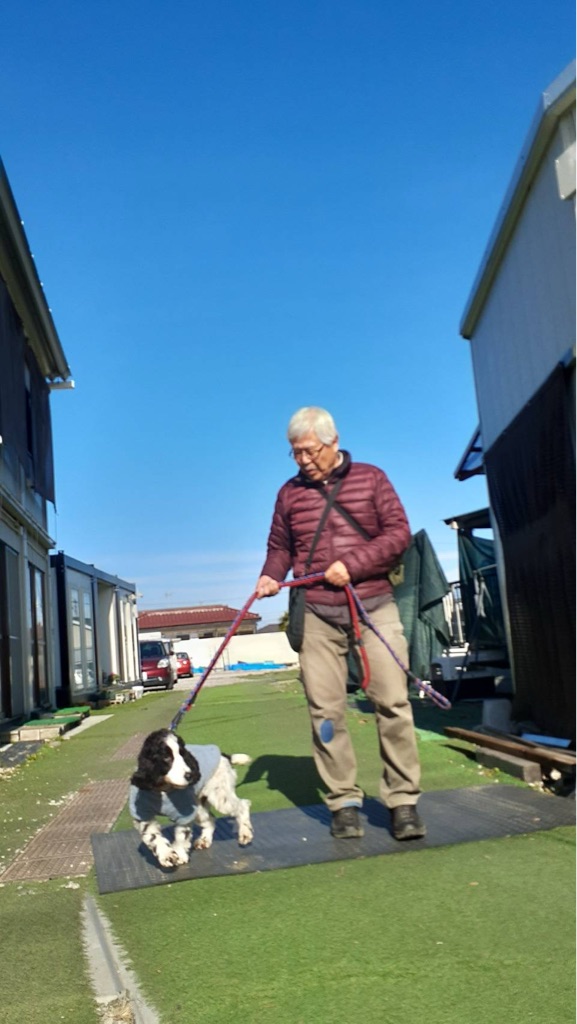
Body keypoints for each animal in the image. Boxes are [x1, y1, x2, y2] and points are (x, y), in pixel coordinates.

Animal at [129, 728, 253, 868]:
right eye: (166, 757)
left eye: (183, 754)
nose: (190, 775)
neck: (163, 788)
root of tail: (224, 755)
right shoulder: (144, 814)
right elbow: (153, 836)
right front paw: (167, 855)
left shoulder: (184, 813)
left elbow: (181, 836)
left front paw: (179, 854)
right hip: (199, 807)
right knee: (210, 819)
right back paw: (204, 840)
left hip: (219, 795)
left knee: (242, 805)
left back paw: (245, 833)